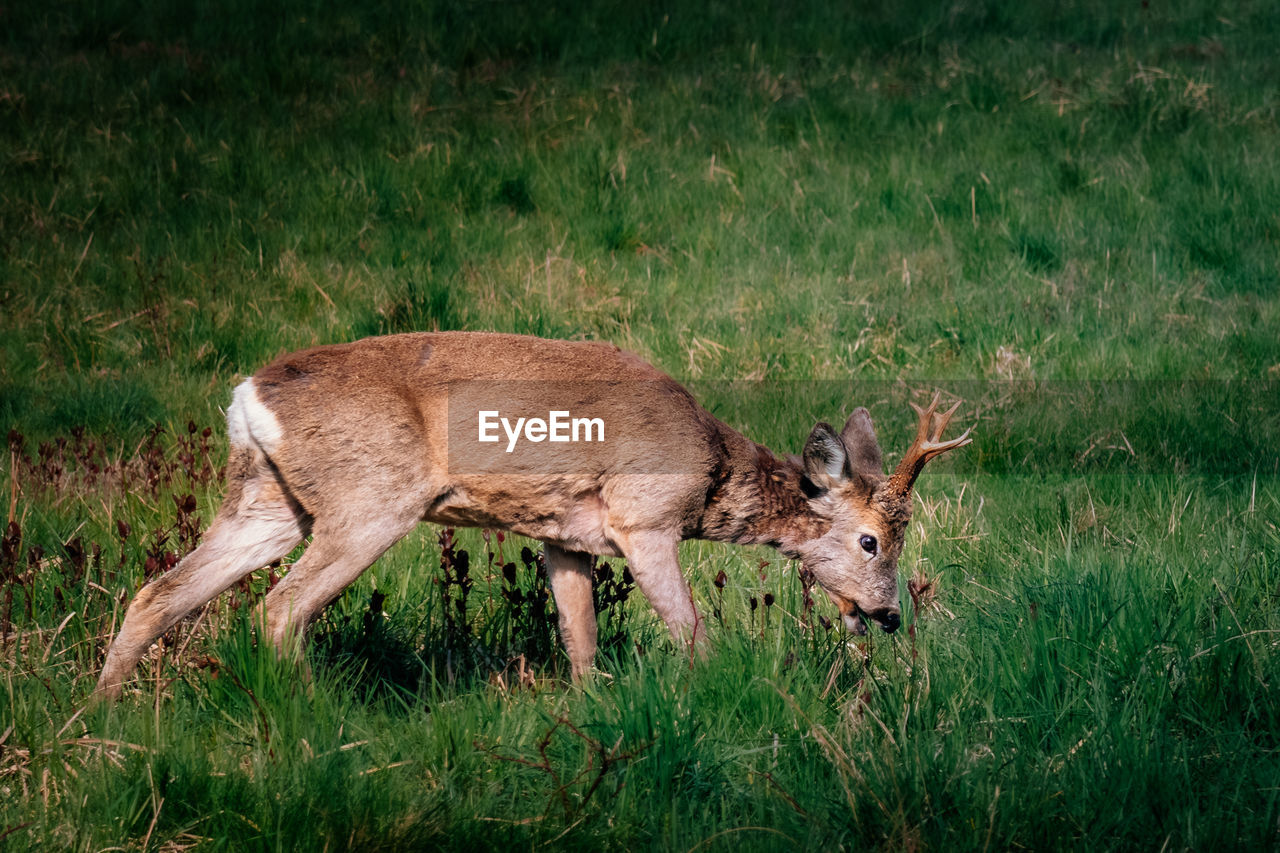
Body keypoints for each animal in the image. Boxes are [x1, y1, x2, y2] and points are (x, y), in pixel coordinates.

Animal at [92, 327, 967, 696]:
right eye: (871, 540)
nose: (889, 614)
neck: (712, 472)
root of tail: (250, 394)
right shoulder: (643, 517)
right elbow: (693, 634)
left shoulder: (564, 537)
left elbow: (580, 643)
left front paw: (593, 713)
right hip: (368, 501)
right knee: (279, 606)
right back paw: (311, 714)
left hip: (270, 500)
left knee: (157, 593)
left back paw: (102, 719)